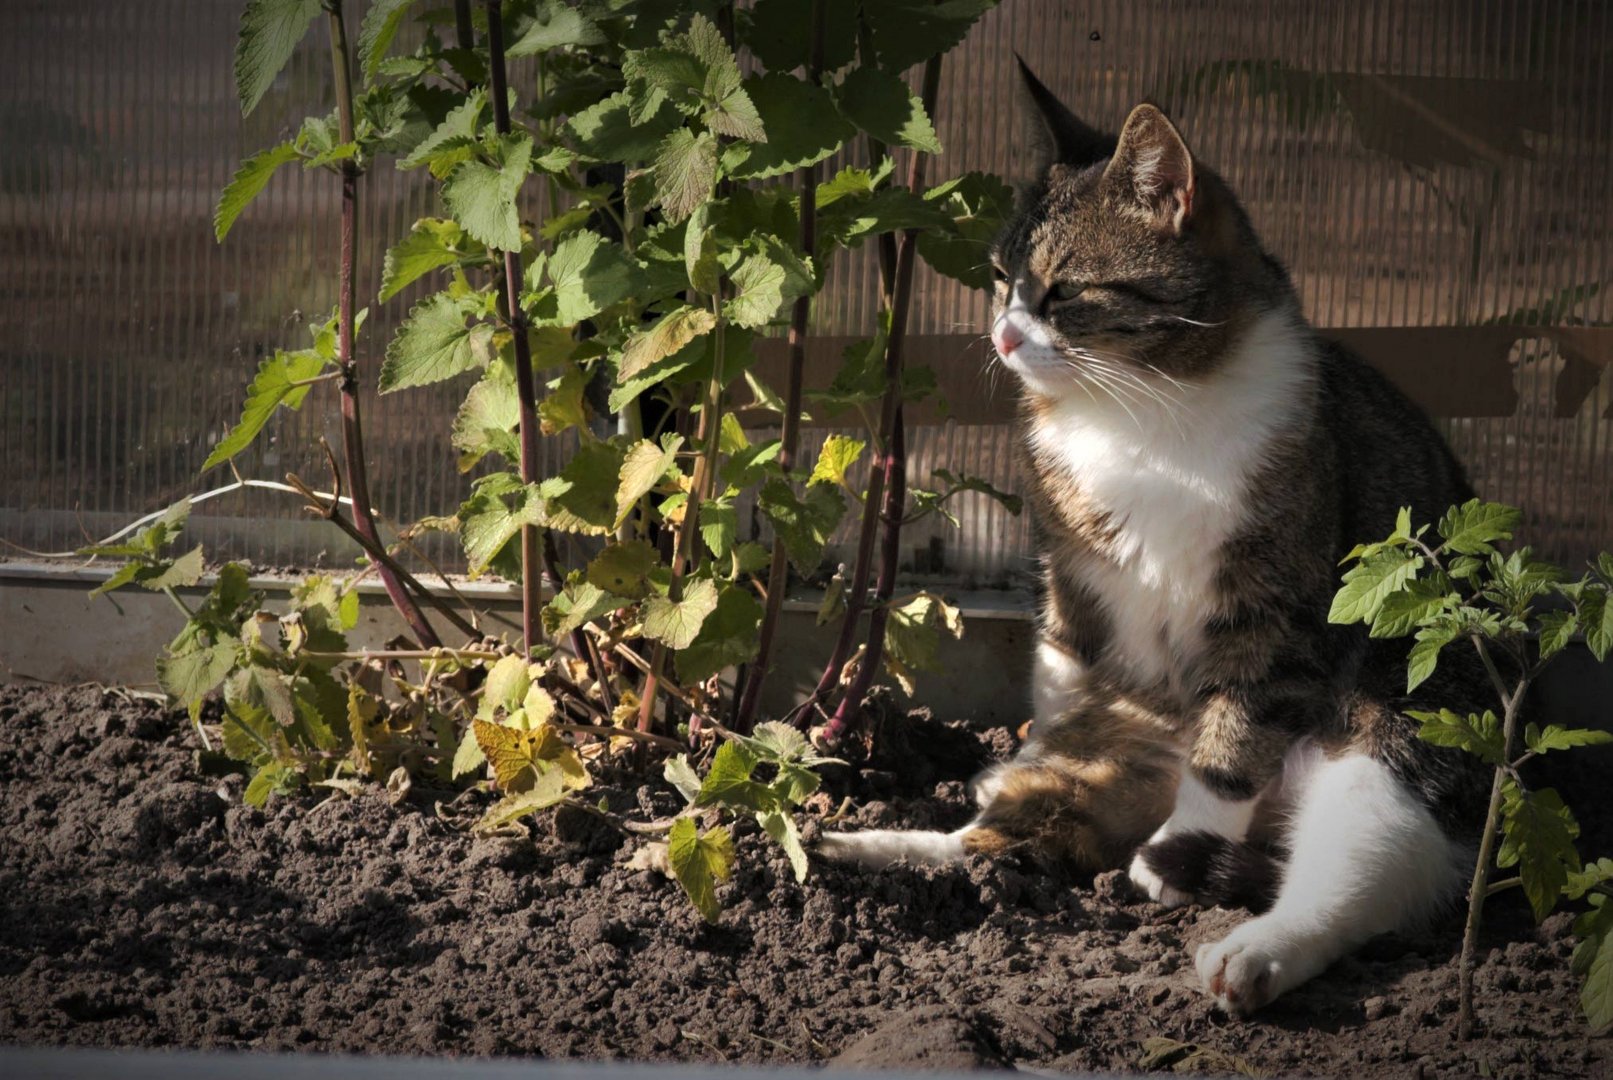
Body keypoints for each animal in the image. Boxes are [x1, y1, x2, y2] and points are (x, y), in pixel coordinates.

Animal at [825, 65, 1490, 1018]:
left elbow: (1231, 747)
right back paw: (851, 849)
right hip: (1116, 752)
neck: (1138, 413)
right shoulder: (1070, 579)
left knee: (1363, 875)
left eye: (1062, 291)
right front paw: (1007, 767)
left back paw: (1249, 951)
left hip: (1398, 724)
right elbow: (1058, 682)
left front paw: (1182, 846)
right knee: (999, 839)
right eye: (996, 278)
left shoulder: (1274, 609)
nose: (1002, 333)